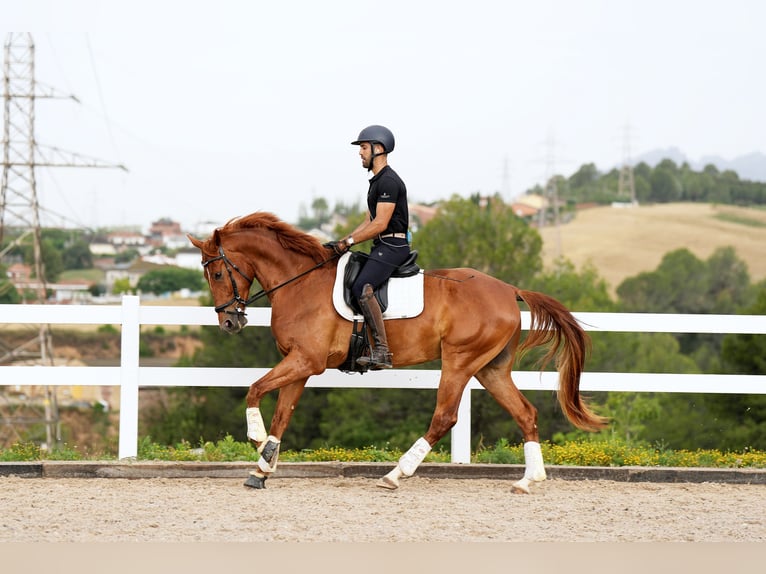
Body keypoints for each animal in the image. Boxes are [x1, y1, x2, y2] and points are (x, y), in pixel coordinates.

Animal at [189, 212, 608, 496]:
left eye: (217, 273)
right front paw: (262, 468)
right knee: (525, 413)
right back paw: (528, 480)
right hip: (490, 368)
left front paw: (257, 441)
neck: (301, 282)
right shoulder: (301, 364)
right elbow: (282, 412)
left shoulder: (306, 361)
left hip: (460, 361)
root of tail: (509, 289)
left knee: (445, 417)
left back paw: (395, 475)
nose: (229, 322)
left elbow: (255, 390)